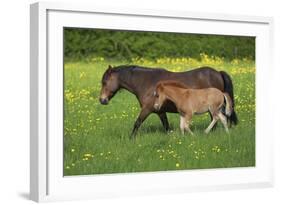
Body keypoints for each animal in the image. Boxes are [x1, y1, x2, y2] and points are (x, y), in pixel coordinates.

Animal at [98, 65, 236, 139]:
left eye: (104, 82)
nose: (102, 100)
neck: (146, 82)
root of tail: (218, 73)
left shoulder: (147, 109)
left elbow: (137, 123)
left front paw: (131, 138)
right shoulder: (160, 111)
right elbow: (166, 126)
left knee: (216, 119)